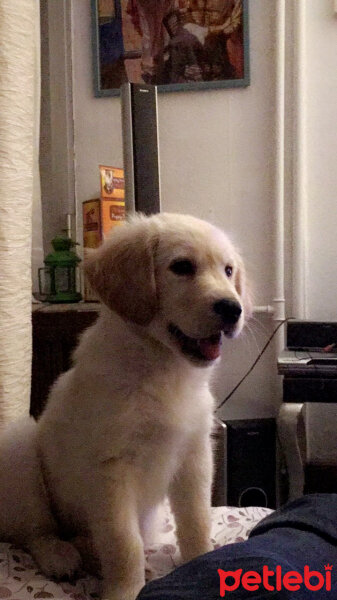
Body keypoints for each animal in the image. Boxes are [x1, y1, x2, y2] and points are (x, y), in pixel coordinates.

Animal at [0, 212, 249, 600]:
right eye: (181, 267)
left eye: (227, 270)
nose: (233, 308)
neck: (163, 367)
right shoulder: (110, 469)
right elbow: (122, 542)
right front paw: (124, 590)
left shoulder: (194, 456)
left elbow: (196, 520)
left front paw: (201, 563)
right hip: (18, 449)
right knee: (34, 530)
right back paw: (60, 556)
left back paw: (87, 552)